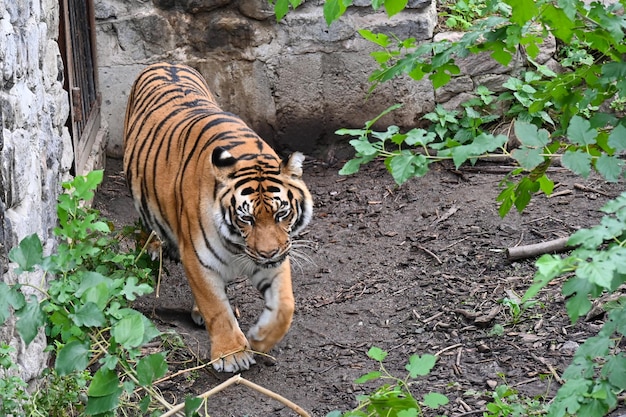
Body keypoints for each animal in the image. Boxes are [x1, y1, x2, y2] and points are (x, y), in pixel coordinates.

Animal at [123, 62, 312, 374]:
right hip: (138, 187)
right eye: (246, 219)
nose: (268, 253)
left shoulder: (277, 256)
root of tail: (167, 62)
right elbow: (216, 307)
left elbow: (285, 305)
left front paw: (260, 338)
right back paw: (149, 247)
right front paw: (232, 354)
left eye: (282, 213)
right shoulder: (198, 259)